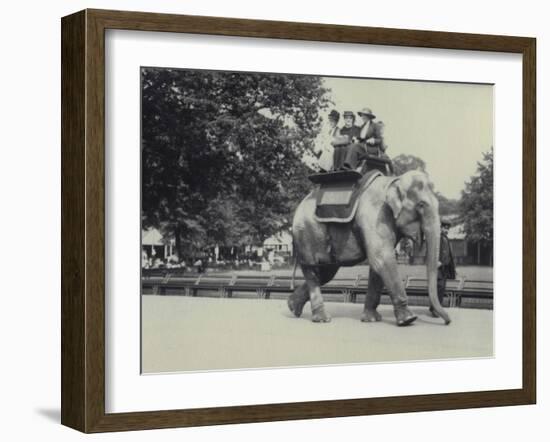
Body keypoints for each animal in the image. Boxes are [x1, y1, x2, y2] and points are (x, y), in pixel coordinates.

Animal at [288, 171, 452, 326]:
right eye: (421, 205)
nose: (448, 321)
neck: (394, 180)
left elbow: (377, 265)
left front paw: (371, 319)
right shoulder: (375, 215)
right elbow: (382, 258)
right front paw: (408, 320)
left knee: (326, 272)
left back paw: (292, 307)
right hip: (306, 231)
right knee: (312, 270)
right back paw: (321, 319)